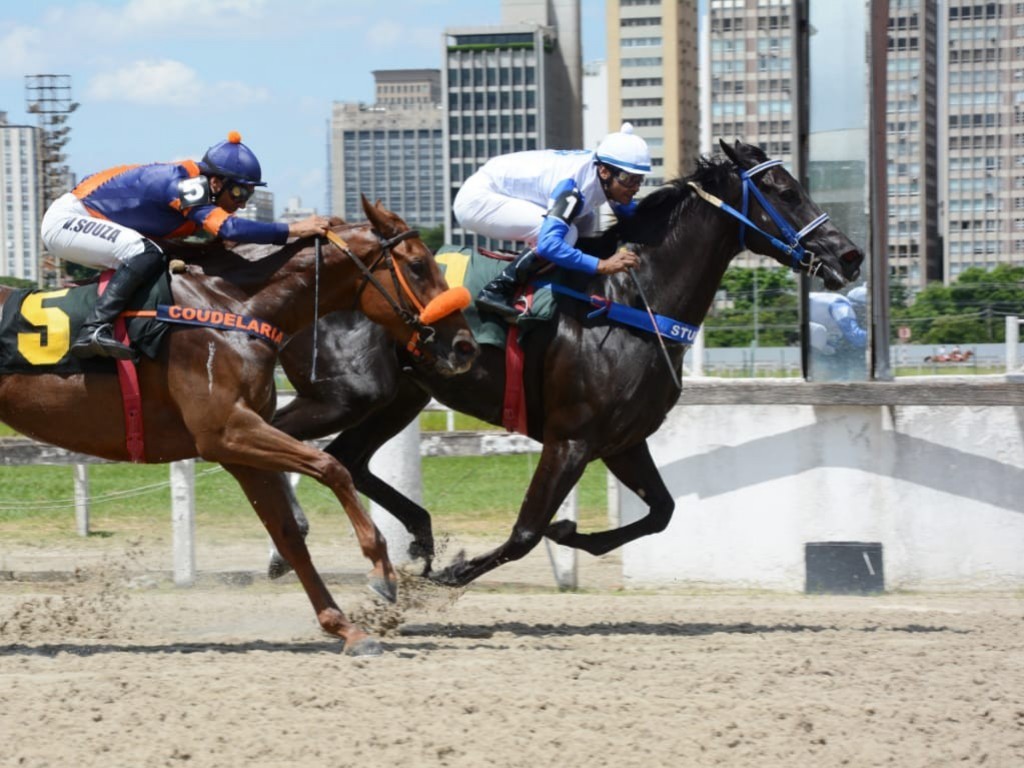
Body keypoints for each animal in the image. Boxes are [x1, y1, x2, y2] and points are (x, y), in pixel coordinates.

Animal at [0, 198, 479, 655]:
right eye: (417, 264)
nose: (464, 346)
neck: (232, 306)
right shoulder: (226, 432)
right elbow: (332, 468)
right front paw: (382, 570)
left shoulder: (241, 447)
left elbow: (288, 534)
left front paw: (345, 628)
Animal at [268, 141, 860, 589]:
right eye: (786, 191)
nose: (850, 255)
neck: (629, 301)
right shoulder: (570, 438)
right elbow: (526, 533)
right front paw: (457, 573)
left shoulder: (621, 441)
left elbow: (661, 512)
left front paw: (571, 533)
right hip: (347, 393)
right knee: (280, 435)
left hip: (401, 396)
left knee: (345, 456)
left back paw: (416, 532)